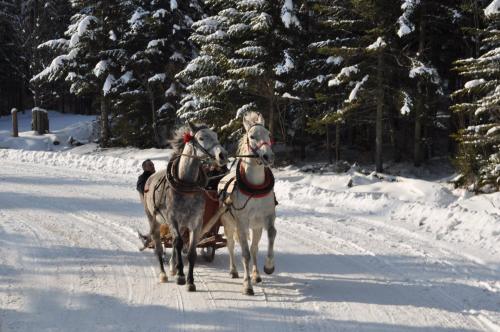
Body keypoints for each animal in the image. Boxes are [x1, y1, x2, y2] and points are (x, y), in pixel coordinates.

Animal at [222, 112, 280, 296]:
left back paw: (256, 275)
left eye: (268, 134)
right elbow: (245, 254)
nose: (269, 157)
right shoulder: (241, 223)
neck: (255, 189)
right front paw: (247, 285)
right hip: (229, 225)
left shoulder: (267, 218)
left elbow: (271, 235)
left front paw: (268, 266)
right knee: (231, 245)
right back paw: (233, 270)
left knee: (254, 248)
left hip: (256, 227)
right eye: (252, 136)